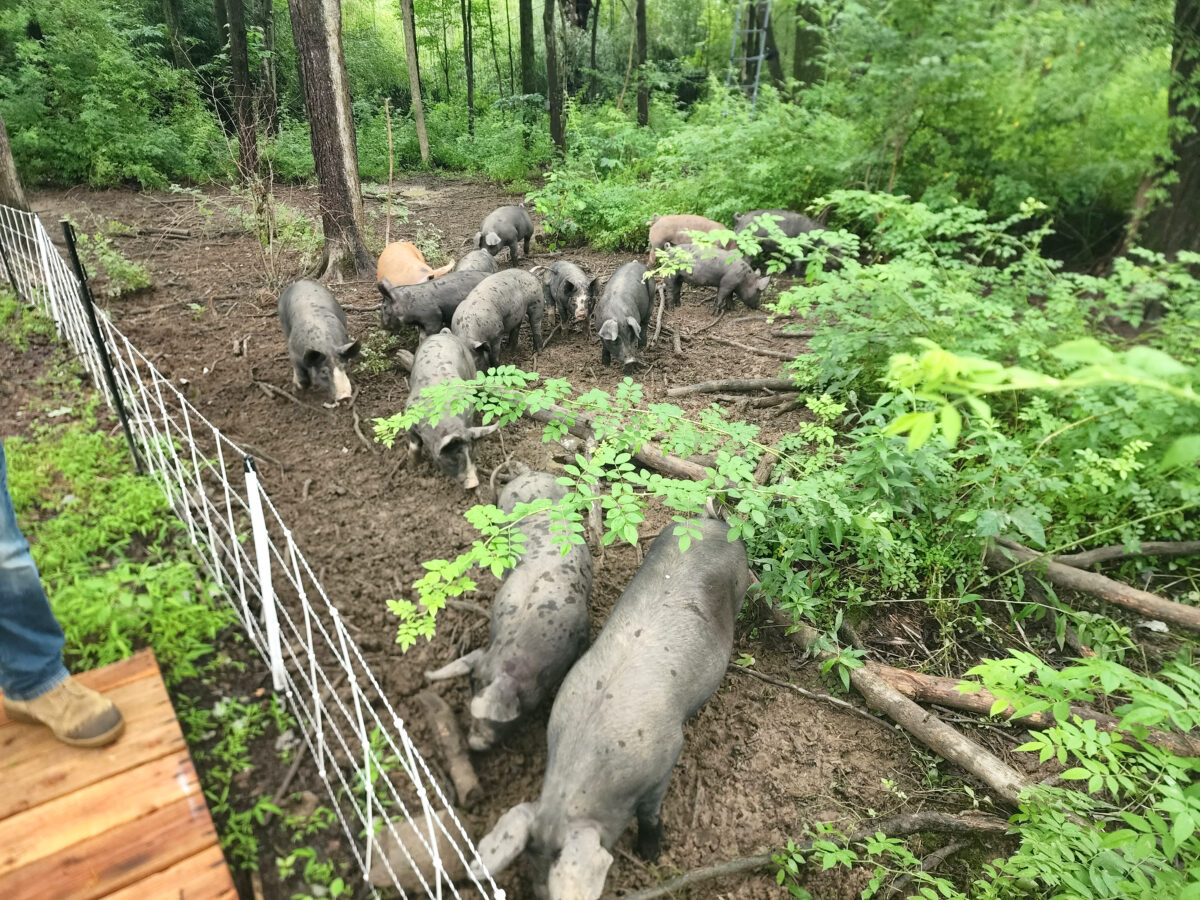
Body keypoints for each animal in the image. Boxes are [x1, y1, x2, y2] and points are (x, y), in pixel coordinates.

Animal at [405, 329, 497, 489]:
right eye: (454, 458)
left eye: (473, 453)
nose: (474, 483)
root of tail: (444, 333)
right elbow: (415, 445)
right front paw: (411, 468)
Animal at [470, 517, 751, 900]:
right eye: (531, 871)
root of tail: (709, 520)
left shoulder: (665, 759)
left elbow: (650, 814)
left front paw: (650, 855)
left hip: (741, 580)